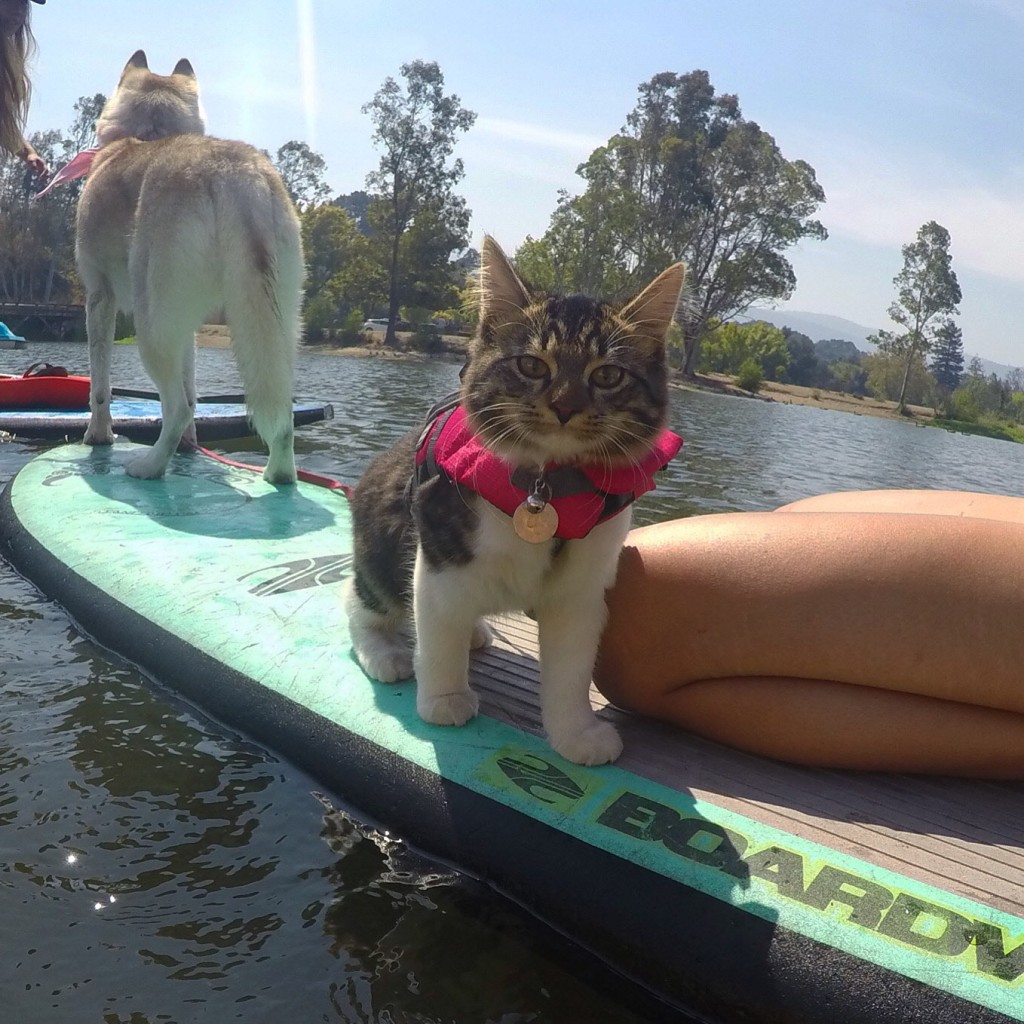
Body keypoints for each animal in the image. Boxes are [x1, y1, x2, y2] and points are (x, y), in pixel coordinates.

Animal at [75, 48, 301, 479]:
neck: (149, 136)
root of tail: (234, 171)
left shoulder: (98, 297)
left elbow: (99, 386)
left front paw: (98, 436)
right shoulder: (189, 329)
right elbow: (195, 391)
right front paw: (190, 447)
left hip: (151, 325)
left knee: (176, 407)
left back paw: (148, 466)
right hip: (277, 326)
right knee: (275, 418)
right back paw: (277, 474)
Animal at [346, 234, 688, 761]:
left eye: (608, 375)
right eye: (532, 365)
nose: (565, 407)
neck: (549, 487)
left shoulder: (583, 587)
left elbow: (571, 668)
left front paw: (575, 734)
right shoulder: (439, 543)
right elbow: (438, 631)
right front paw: (444, 699)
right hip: (380, 545)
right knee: (360, 600)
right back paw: (385, 651)